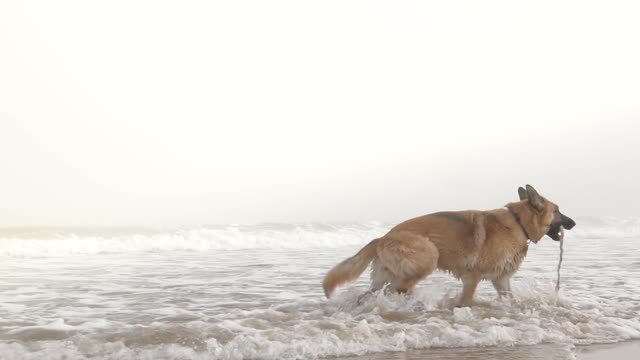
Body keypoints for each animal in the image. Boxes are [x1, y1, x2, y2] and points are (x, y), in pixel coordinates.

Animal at [322, 186, 576, 306]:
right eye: (557, 211)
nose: (573, 223)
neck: (518, 222)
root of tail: (382, 237)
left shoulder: (501, 280)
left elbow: (510, 299)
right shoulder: (473, 277)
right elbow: (466, 301)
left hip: (384, 277)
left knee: (372, 294)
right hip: (429, 256)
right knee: (398, 289)